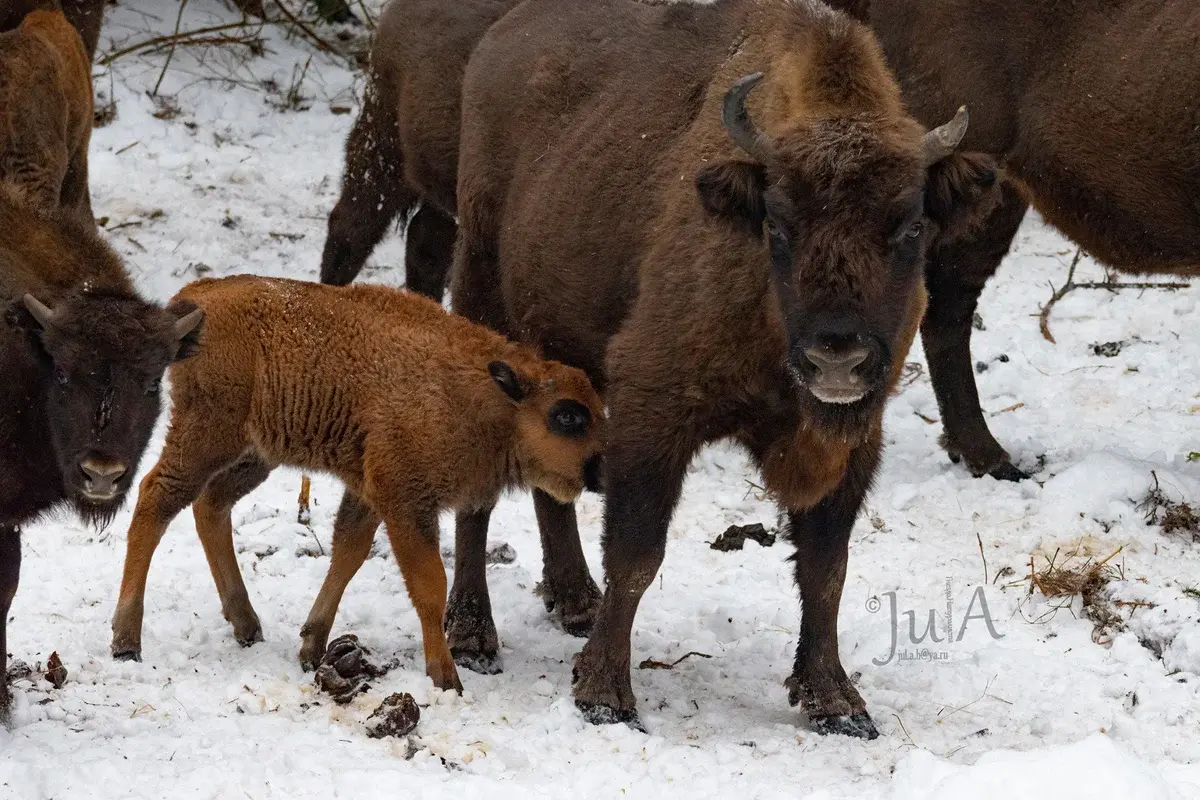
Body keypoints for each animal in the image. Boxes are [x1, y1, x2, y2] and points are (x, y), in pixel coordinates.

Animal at [108, 278, 604, 690]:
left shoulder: (370, 493)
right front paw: (445, 677)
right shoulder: (406, 502)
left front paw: (312, 644)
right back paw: (127, 639)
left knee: (210, 506)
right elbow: (429, 585)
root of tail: (196, 296)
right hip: (205, 438)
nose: (601, 468)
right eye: (566, 416)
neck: (493, 400)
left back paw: (246, 624)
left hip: (254, 454)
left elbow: (349, 552)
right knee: (154, 500)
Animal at [453, 0, 998, 743]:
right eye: (778, 223)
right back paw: (472, 636)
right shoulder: (654, 407)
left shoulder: (855, 437)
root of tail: (498, 39)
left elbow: (827, 566)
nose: (837, 356)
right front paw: (604, 695)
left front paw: (837, 702)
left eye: (911, 226)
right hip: (482, 299)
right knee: (478, 489)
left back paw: (573, 602)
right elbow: (638, 553)